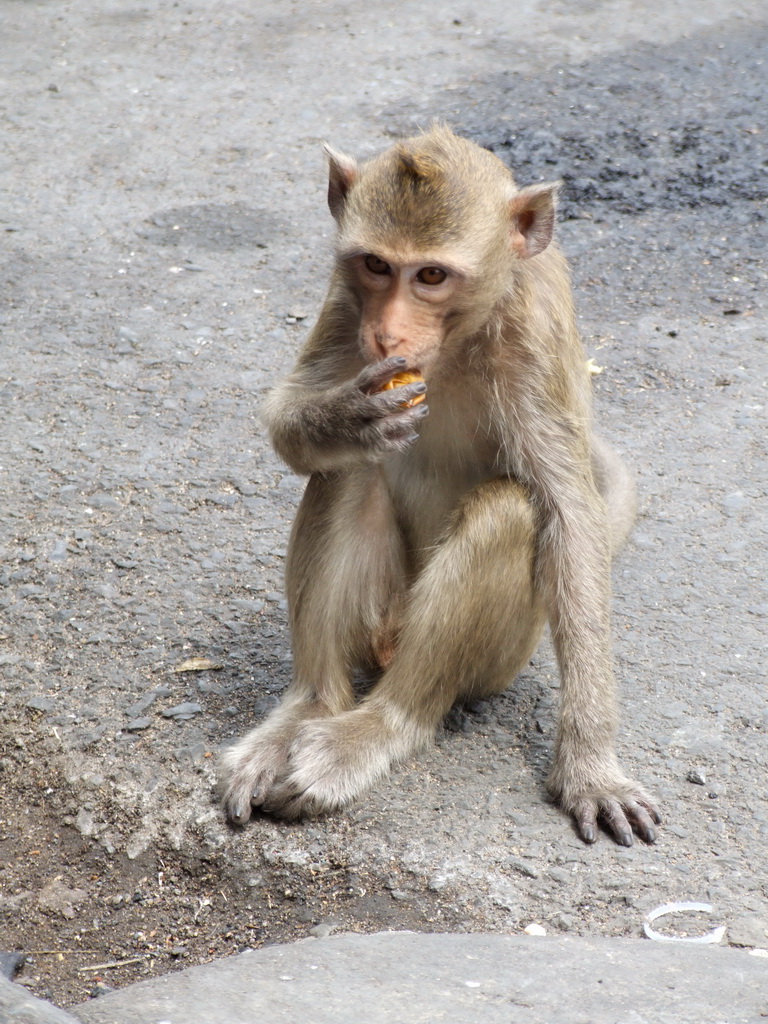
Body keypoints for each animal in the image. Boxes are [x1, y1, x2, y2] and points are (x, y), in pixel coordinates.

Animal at [221, 123, 663, 843]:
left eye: (431, 275)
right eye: (376, 266)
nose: (388, 334)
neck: (458, 339)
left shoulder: (535, 335)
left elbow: (569, 516)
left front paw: (592, 766)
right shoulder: (343, 304)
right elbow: (288, 424)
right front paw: (345, 416)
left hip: (501, 656)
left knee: (508, 512)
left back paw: (376, 729)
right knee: (346, 472)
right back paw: (309, 709)